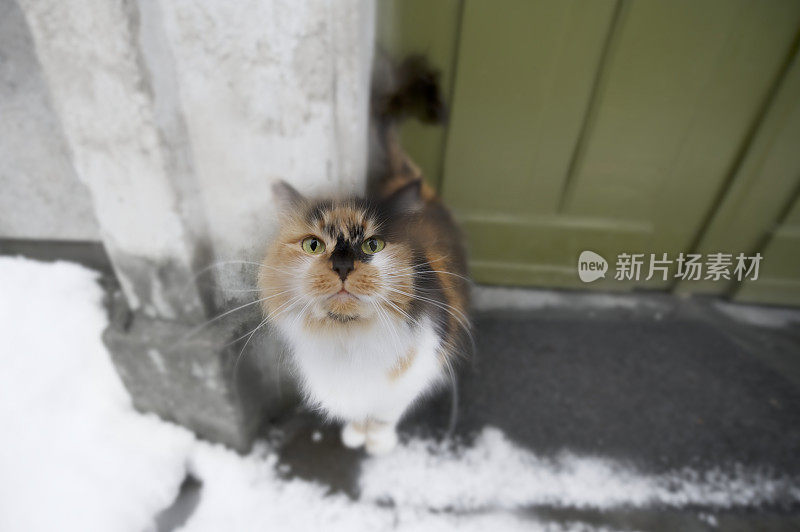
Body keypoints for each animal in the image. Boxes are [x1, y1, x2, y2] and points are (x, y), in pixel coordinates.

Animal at [256, 56, 468, 454]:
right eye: (313, 245)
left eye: (373, 245)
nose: (342, 264)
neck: (347, 342)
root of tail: (405, 175)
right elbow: (356, 412)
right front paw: (355, 435)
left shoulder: (416, 371)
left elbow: (385, 412)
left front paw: (378, 443)